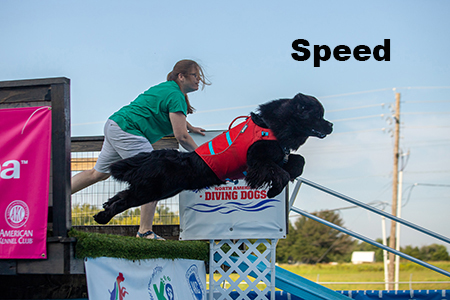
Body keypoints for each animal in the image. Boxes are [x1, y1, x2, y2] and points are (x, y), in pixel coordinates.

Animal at [93, 92, 332, 224]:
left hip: (158, 190)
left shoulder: (277, 155)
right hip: (152, 190)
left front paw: (289, 175)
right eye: (318, 115)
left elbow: (298, 162)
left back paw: (104, 208)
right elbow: (279, 173)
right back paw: (102, 217)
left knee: (123, 195)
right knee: (124, 200)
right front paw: (274, 190)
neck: (272, 126)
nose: (331, 125)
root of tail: (157, 156)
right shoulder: (257, 159)